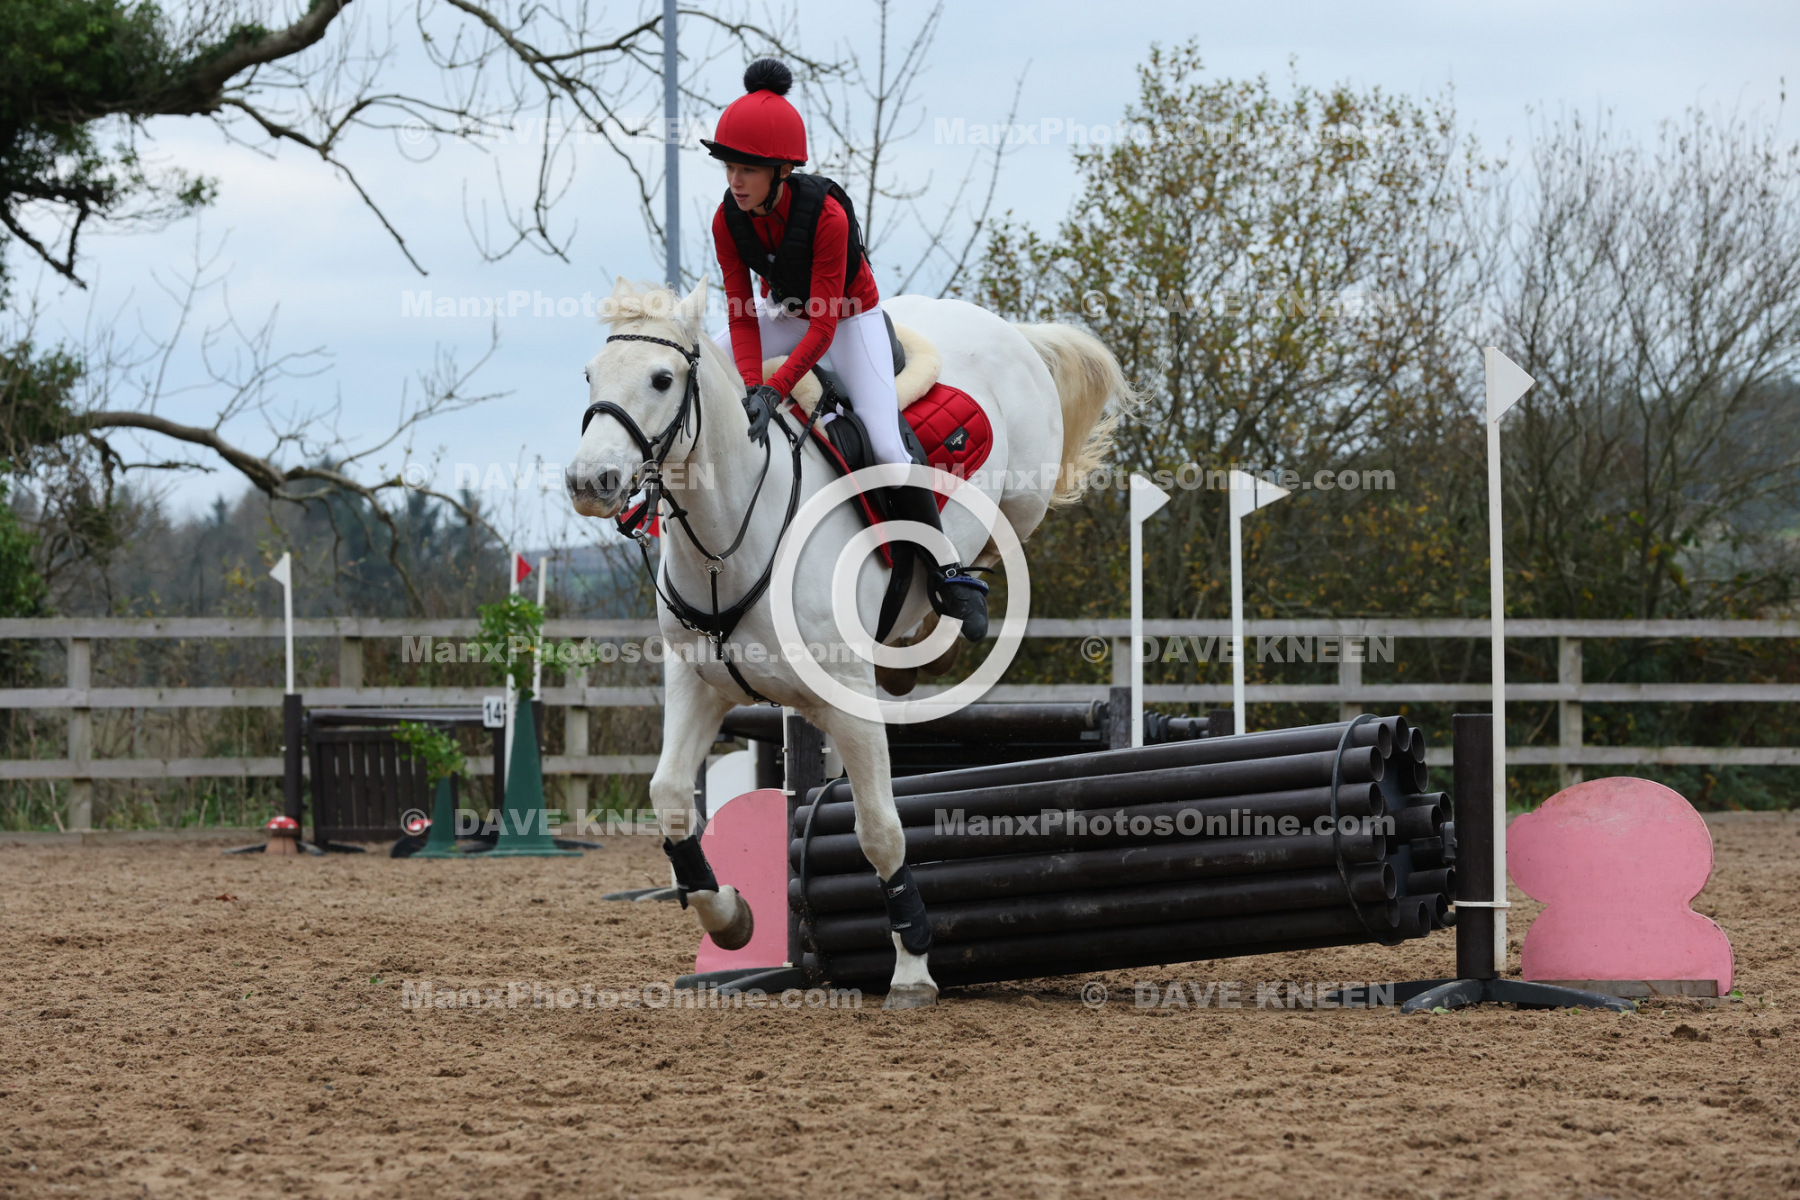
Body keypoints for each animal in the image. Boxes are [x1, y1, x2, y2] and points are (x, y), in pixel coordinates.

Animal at [566, 276, 1129, 1006]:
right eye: (590, 375)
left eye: (662, 379)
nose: (589, 483)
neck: (727, 545)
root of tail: (1005, 328)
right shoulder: (698, 687)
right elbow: (669, 800)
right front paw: (727, 916)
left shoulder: (850, 705)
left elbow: (880, 831)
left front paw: (913, 965)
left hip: (1020, 499)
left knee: (989, 545)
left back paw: (950, 609)